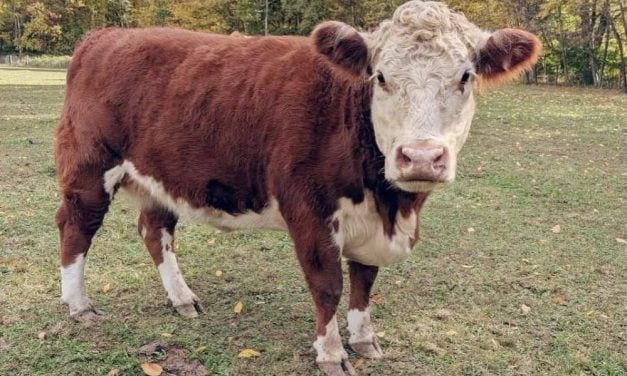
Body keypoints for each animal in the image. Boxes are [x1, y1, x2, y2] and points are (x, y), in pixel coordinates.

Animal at [54, 1, 540, 374]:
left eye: (465, 77)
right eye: (381, 77)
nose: (421, 156)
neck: (391, 206)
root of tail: (104, 37)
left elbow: (363, 281)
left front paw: (364, 340)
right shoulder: (308, 208)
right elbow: (327, 284)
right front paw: (330, 353)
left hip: (159, 177)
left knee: (155, 231)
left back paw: (182, 299)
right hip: (89, 167)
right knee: (76, 227)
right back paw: (79, 306)